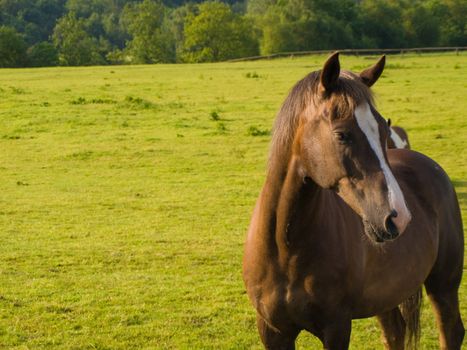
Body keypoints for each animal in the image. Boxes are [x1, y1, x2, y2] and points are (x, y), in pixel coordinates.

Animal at [243, 52, 466, 350]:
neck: (284, 248)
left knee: (451, 331)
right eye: (341, 134)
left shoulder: (336, 327)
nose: (399, 216)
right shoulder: (273, 331)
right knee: (395, 333)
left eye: (384, 131)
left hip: (444, 284)